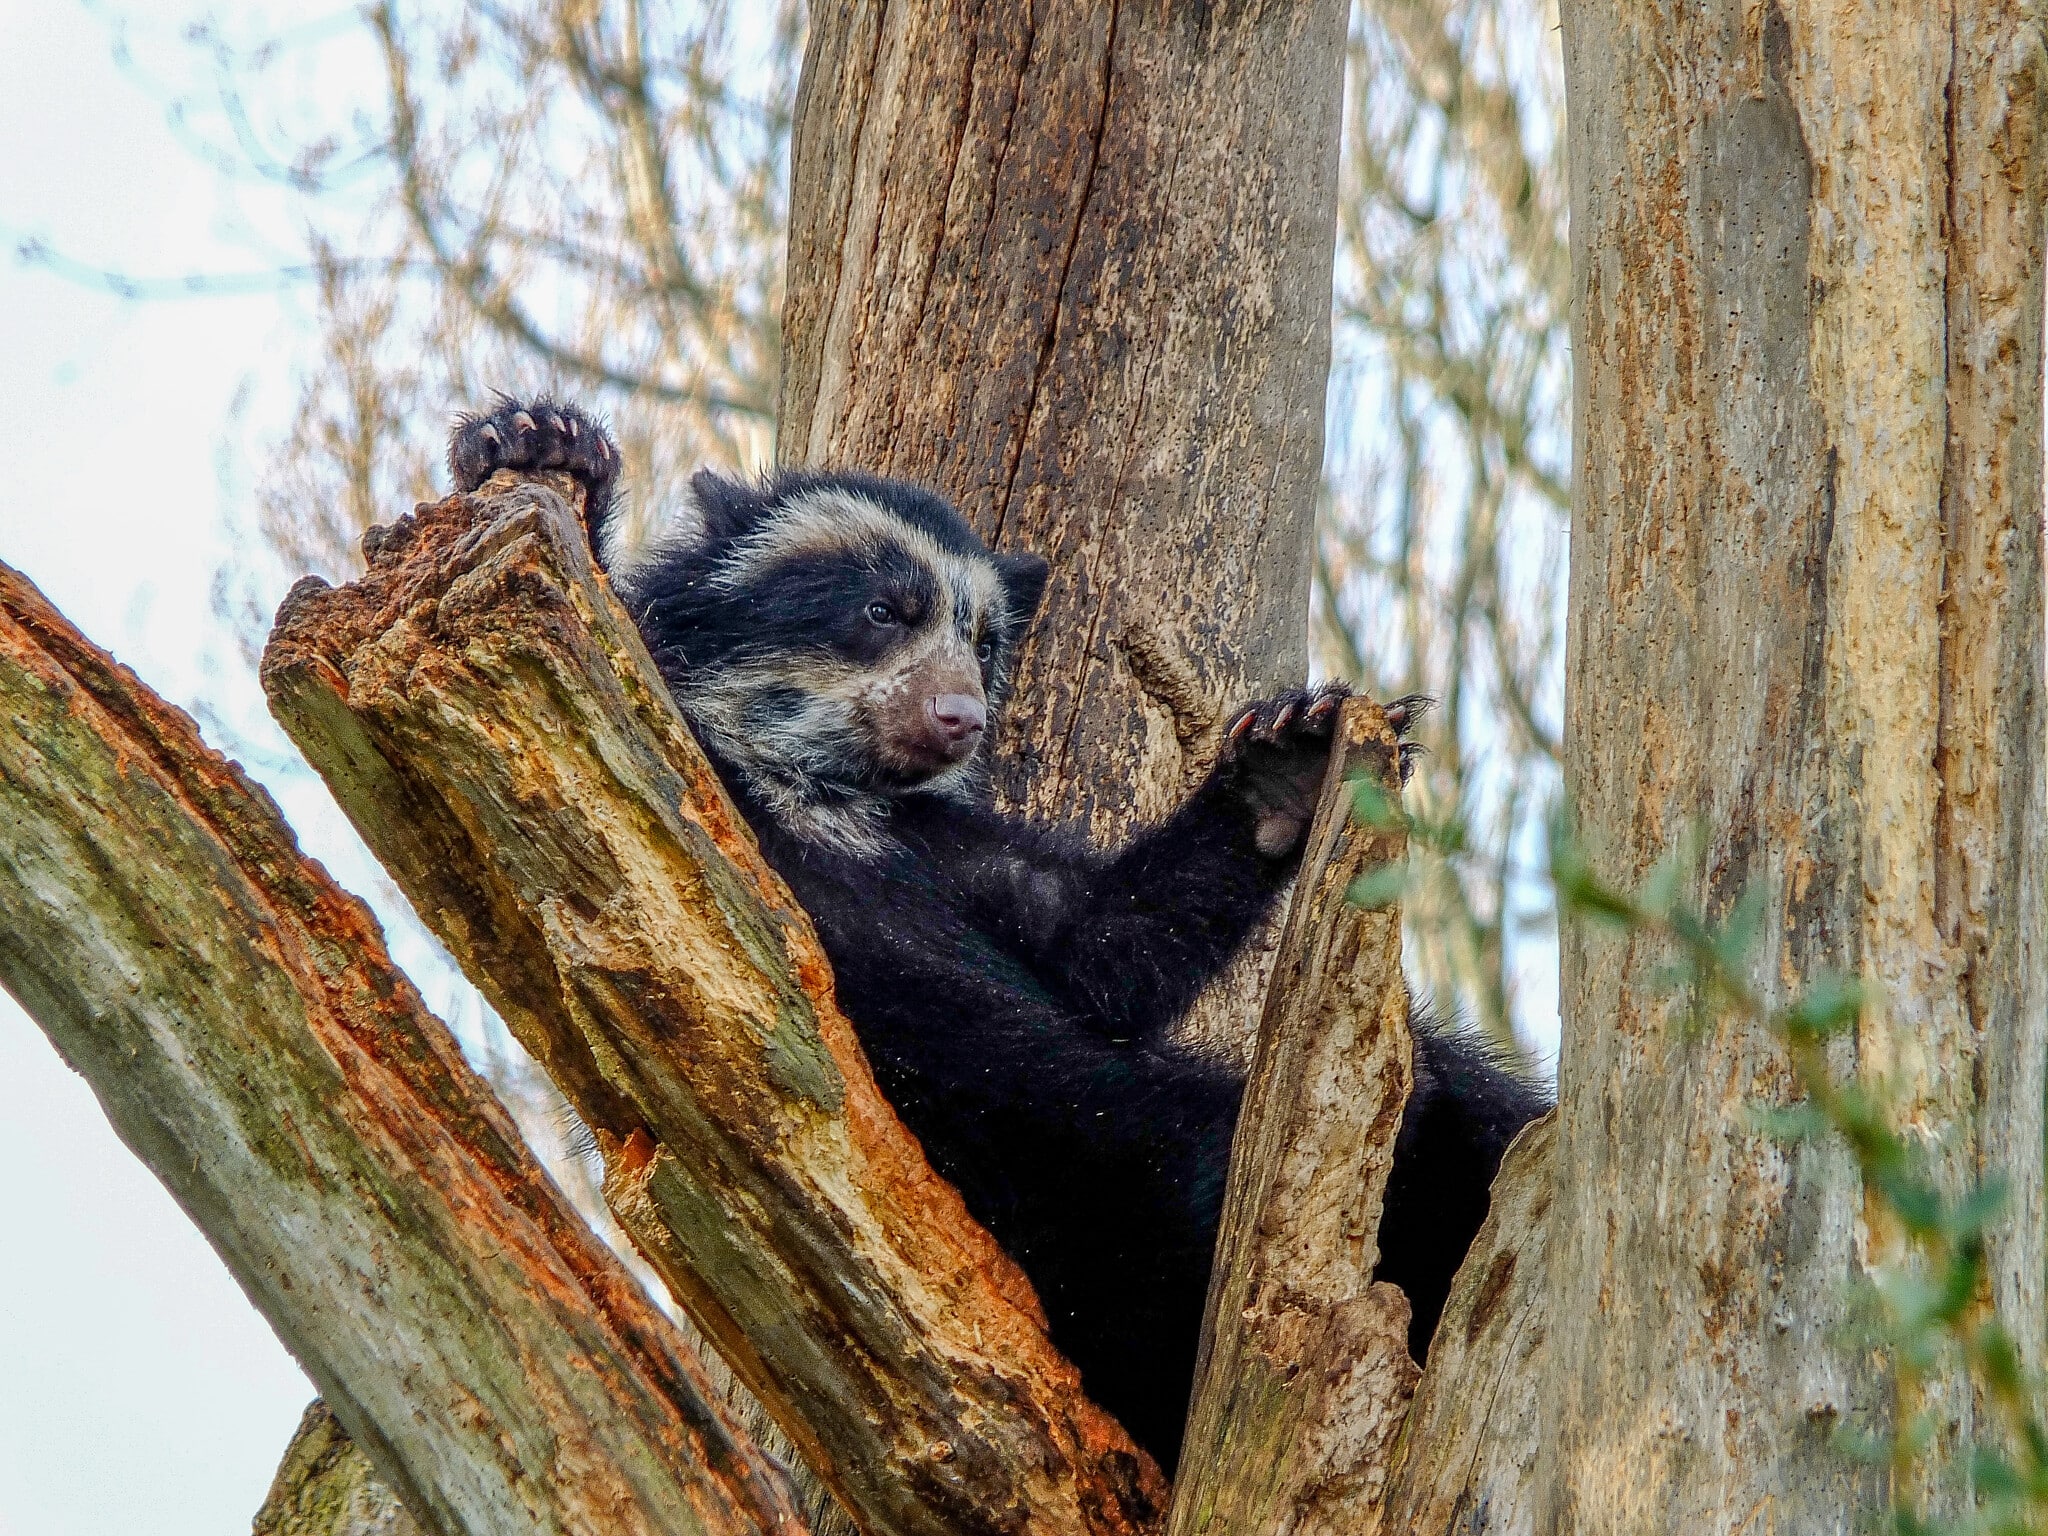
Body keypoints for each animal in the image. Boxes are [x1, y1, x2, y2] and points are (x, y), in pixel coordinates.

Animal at [444, 397, 1540, 1482]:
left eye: (981, 641)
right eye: (882, 611)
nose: (960, 717)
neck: (826, 800)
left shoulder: (951, 854)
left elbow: (1102, 949)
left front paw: (1291, 752)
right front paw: (537, 445)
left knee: (1469, 1106)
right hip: (1070, 1164)